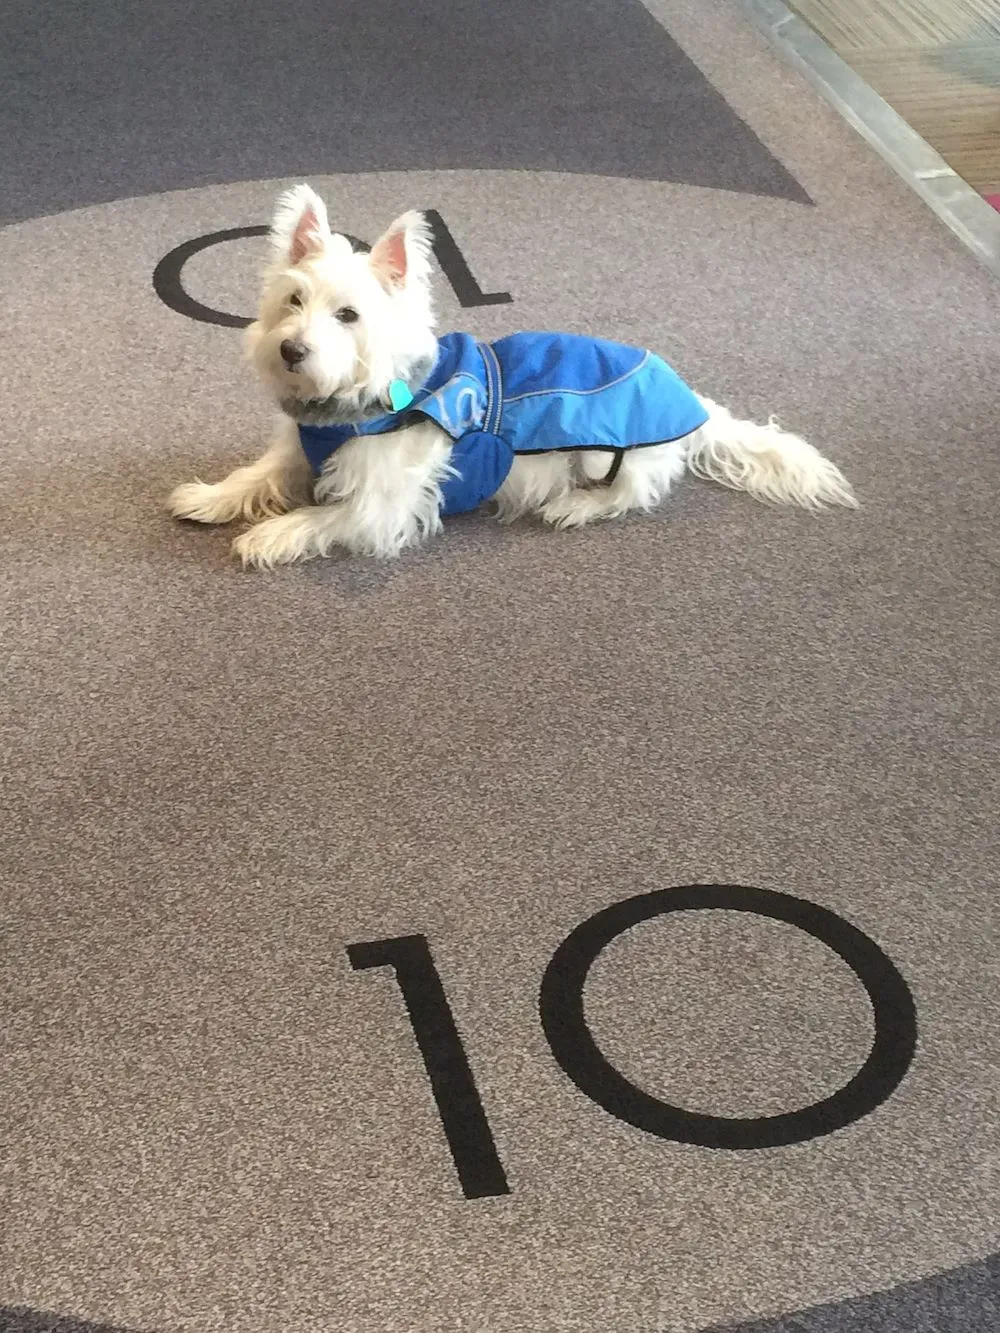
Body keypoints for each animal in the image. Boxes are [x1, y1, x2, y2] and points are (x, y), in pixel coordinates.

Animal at [168, 186, 858, 562]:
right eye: (293, 300)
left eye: (348, 315)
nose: (290, 350)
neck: (358, 406)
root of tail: (697, 403)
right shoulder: (295, 449)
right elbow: (257, 474)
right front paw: (207, 497)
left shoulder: (381, 510)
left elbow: (318, 519)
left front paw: (266, 537)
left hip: (613, 453)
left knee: (635, 493)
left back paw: (574, 508)